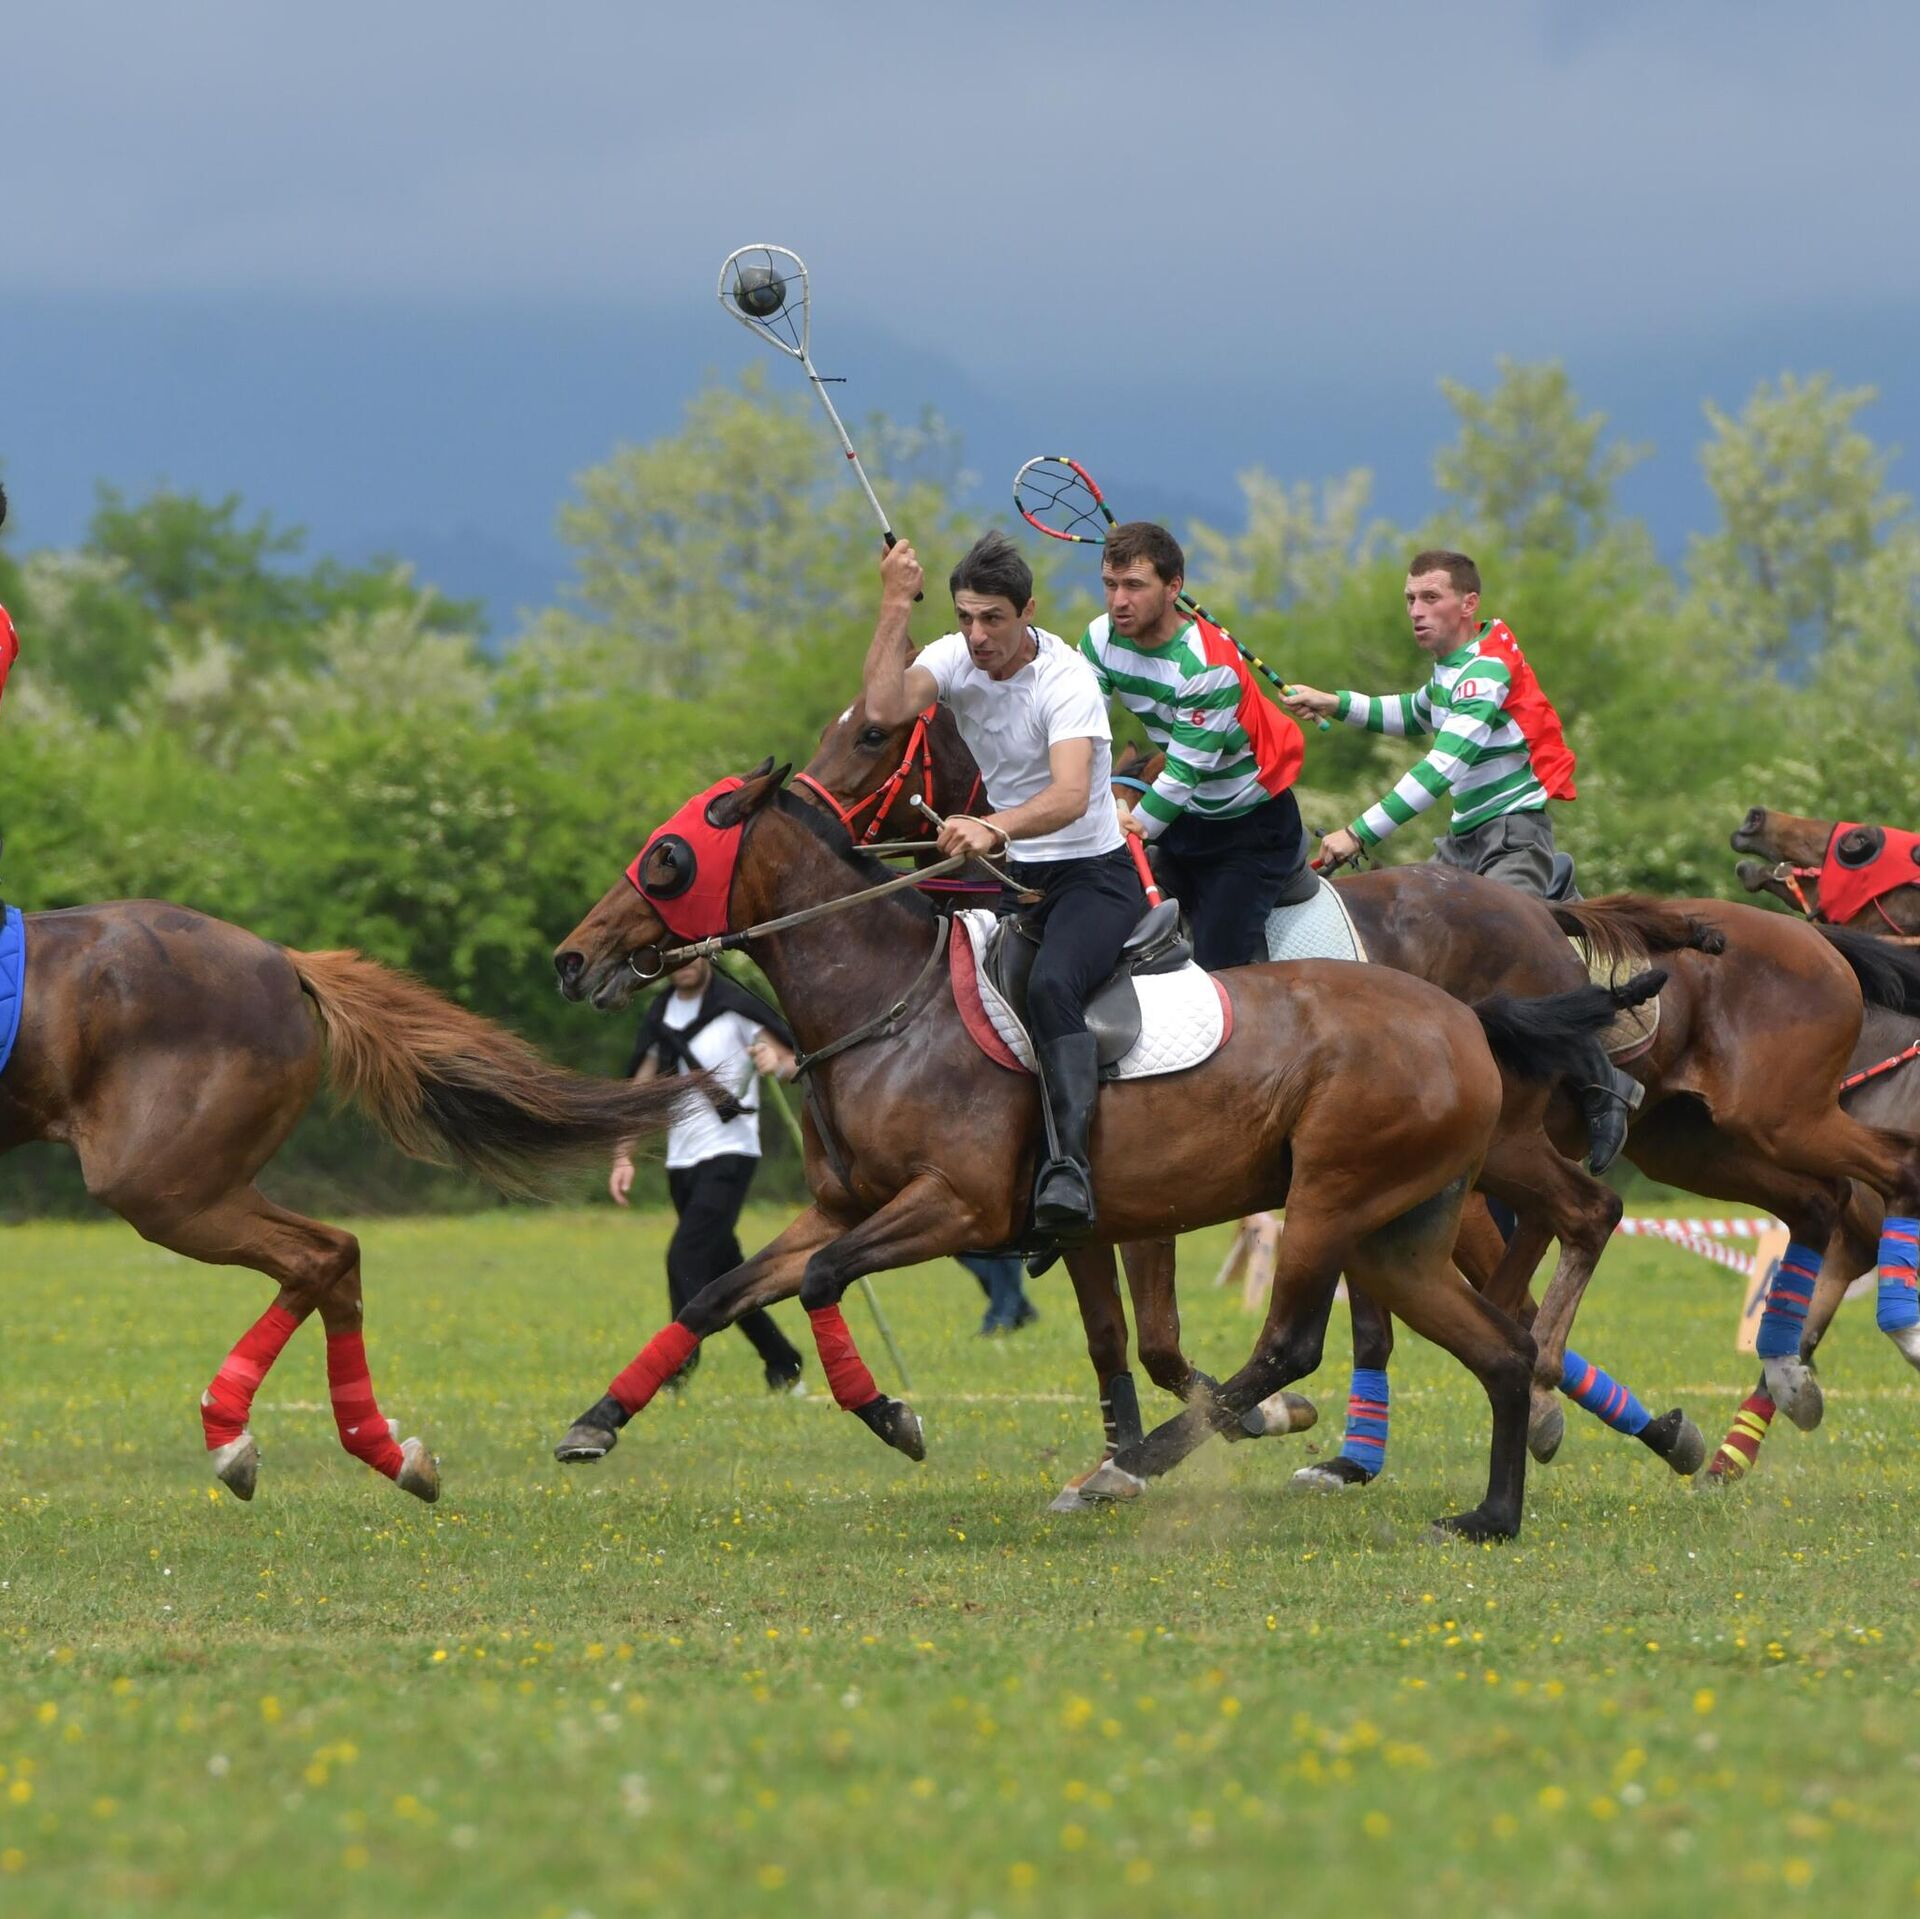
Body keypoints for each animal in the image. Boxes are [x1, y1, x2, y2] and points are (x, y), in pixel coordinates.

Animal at [0, 901, 695, 1500]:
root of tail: (282, 961)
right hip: (193, 1182)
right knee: (336, 1260)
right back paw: (383, 1451)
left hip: (163, 1184)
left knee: (322, 1254)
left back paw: (234, 1437)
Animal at [551, 757, 1671, 1539]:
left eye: (667, 856)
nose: (572, 958)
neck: (887, 1003)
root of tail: (1468, 1016)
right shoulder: (850, 1205)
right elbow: (718, 1291)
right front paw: (597, 1419)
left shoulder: (954, 1205)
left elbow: (828, 1278)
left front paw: (890, 1414)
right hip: (1400, 1226)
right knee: (1498, 1327)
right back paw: (1495, 1503)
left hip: (1335, 1198)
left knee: (1307, 1337)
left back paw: (1133, 1469)